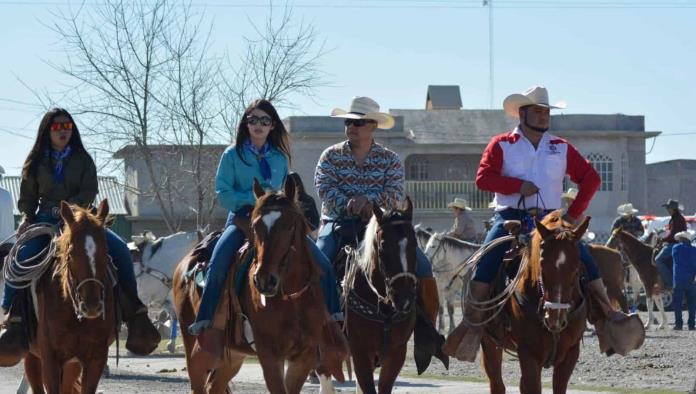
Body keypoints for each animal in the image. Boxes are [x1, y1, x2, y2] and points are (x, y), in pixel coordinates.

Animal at [23, 202, 115, 392]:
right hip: (33, 355)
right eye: (71, 253)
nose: (92, 306)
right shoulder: (50, 359)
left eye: (105, 251)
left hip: (72, 364)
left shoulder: (95, 359)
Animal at [174, 177, 348, 392]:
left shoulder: (304, 356)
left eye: (289, 226)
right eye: (255, 226)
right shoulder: (269, 354)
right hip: (196, 349)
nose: (264, 280)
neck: (292, 300)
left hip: (233, 357)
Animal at [482, 212, 588, 394]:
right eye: (542, 268)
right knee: (497, 384)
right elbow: (531, 385)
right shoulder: (528, 353)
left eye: (576, 270)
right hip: (490, 342)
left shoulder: (571, 353)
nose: (555, 319)